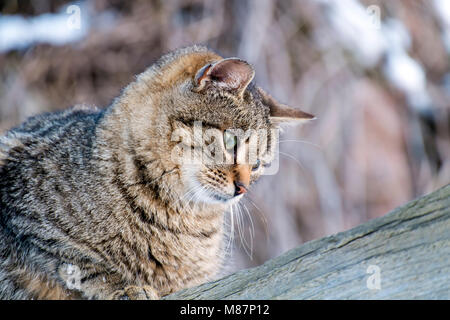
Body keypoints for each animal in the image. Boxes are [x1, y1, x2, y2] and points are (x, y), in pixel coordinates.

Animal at [0, 45, 312, 300]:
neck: (182, 219)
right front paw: (125, 286)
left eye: (258, 164)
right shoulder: (25, 216)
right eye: (231, 141)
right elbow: (74, 260)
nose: (243, 188)